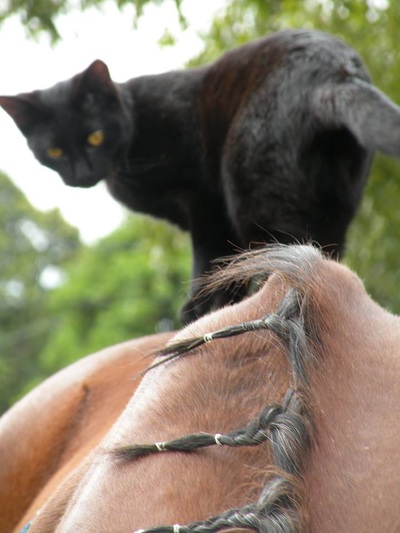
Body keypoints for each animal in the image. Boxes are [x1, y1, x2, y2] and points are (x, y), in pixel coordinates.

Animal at [2, 28, 400, 324]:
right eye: (54, 151)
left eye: (94, 137)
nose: (80, 174)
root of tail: (335, 73)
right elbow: (228, 261)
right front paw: (217, 304)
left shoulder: (204, 200)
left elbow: (208, 256)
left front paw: (200, 307)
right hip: (335, 202)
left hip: (250, 187)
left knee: (290, 252)